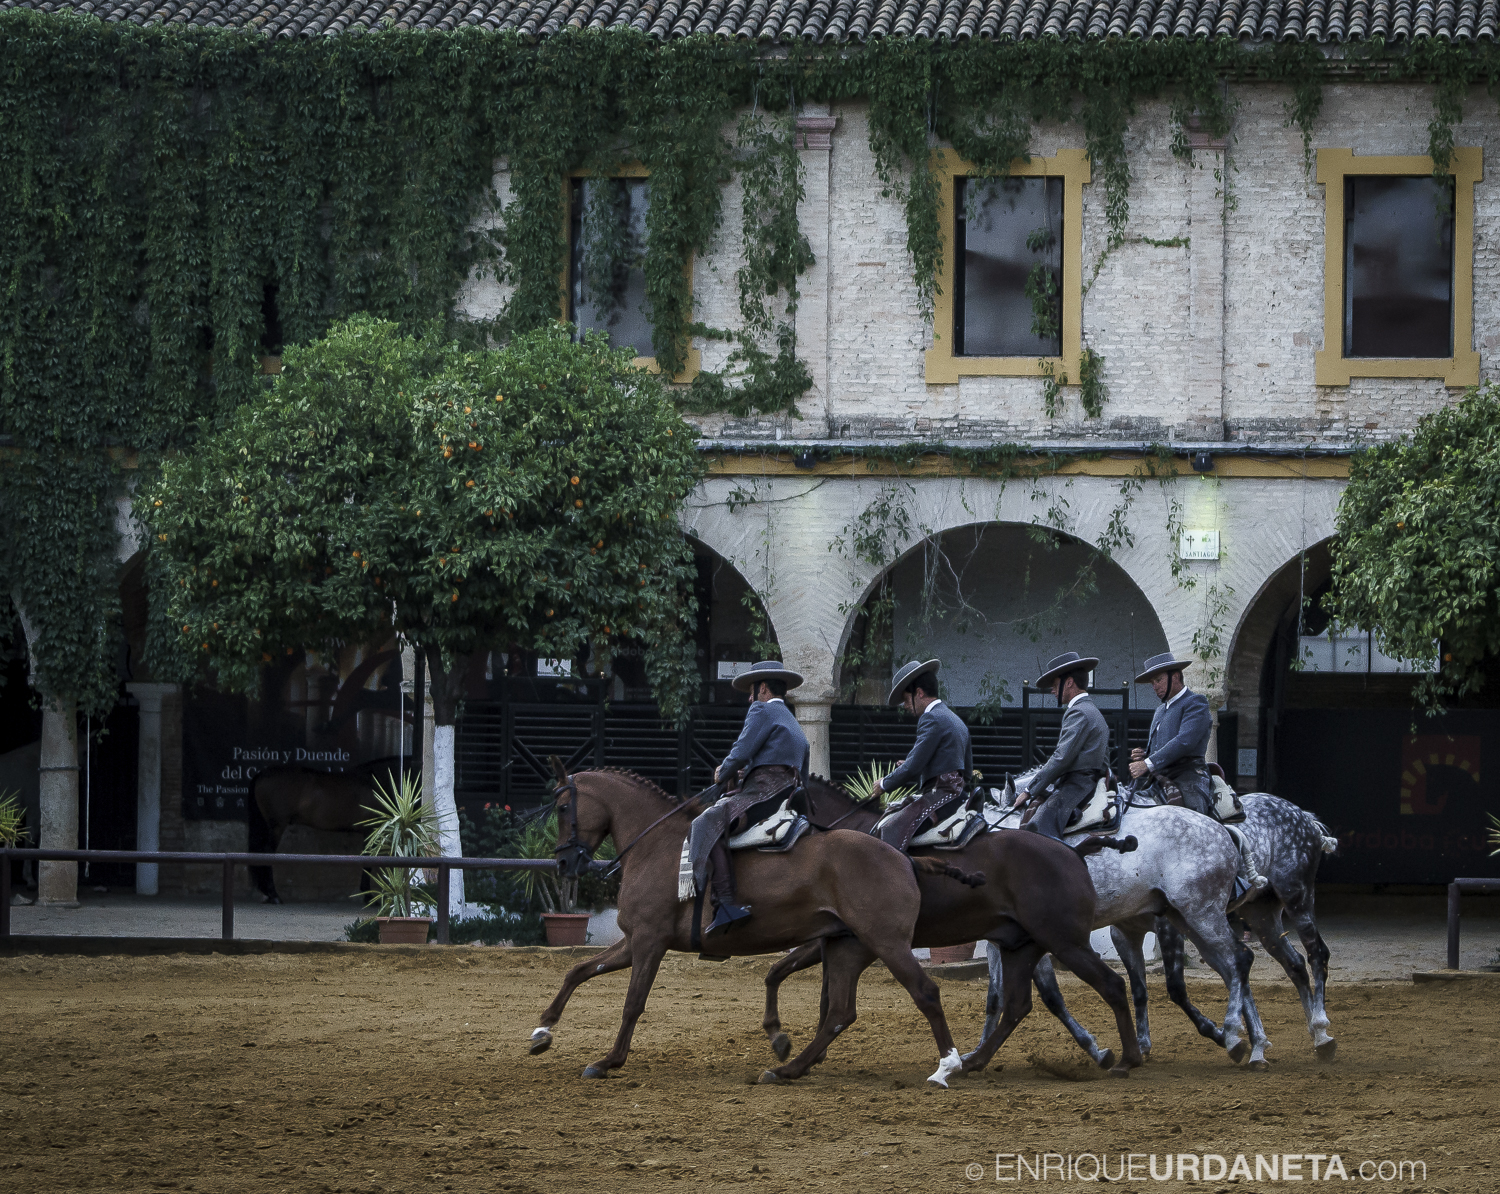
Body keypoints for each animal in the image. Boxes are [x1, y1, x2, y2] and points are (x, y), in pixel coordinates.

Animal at [531, 768, 984, 1086]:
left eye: (563, 808)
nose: (563, 862)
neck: (655, 845)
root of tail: (902, 856)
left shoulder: (648, 941)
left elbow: (632, 1004)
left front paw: (608, 1061)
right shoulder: (633, 942)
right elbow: (577, 971)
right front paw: (542, 1031)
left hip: (887, 943)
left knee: (924, 993)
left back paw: (947, 1067)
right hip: (848, 947)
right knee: (840, 1012)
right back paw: (788, 1069)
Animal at [768, 780, 1140, 1080]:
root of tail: (1072, 852)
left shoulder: (848, 939)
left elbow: (803, 982)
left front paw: (792, 1046)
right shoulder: (839, 940)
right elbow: (785, 973)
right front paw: (794, 1047)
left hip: (1066, 942)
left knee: (1111, 985)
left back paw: (1127, 1059)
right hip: (1021, 946)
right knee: (1019, 1005)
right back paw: (976, 1060)